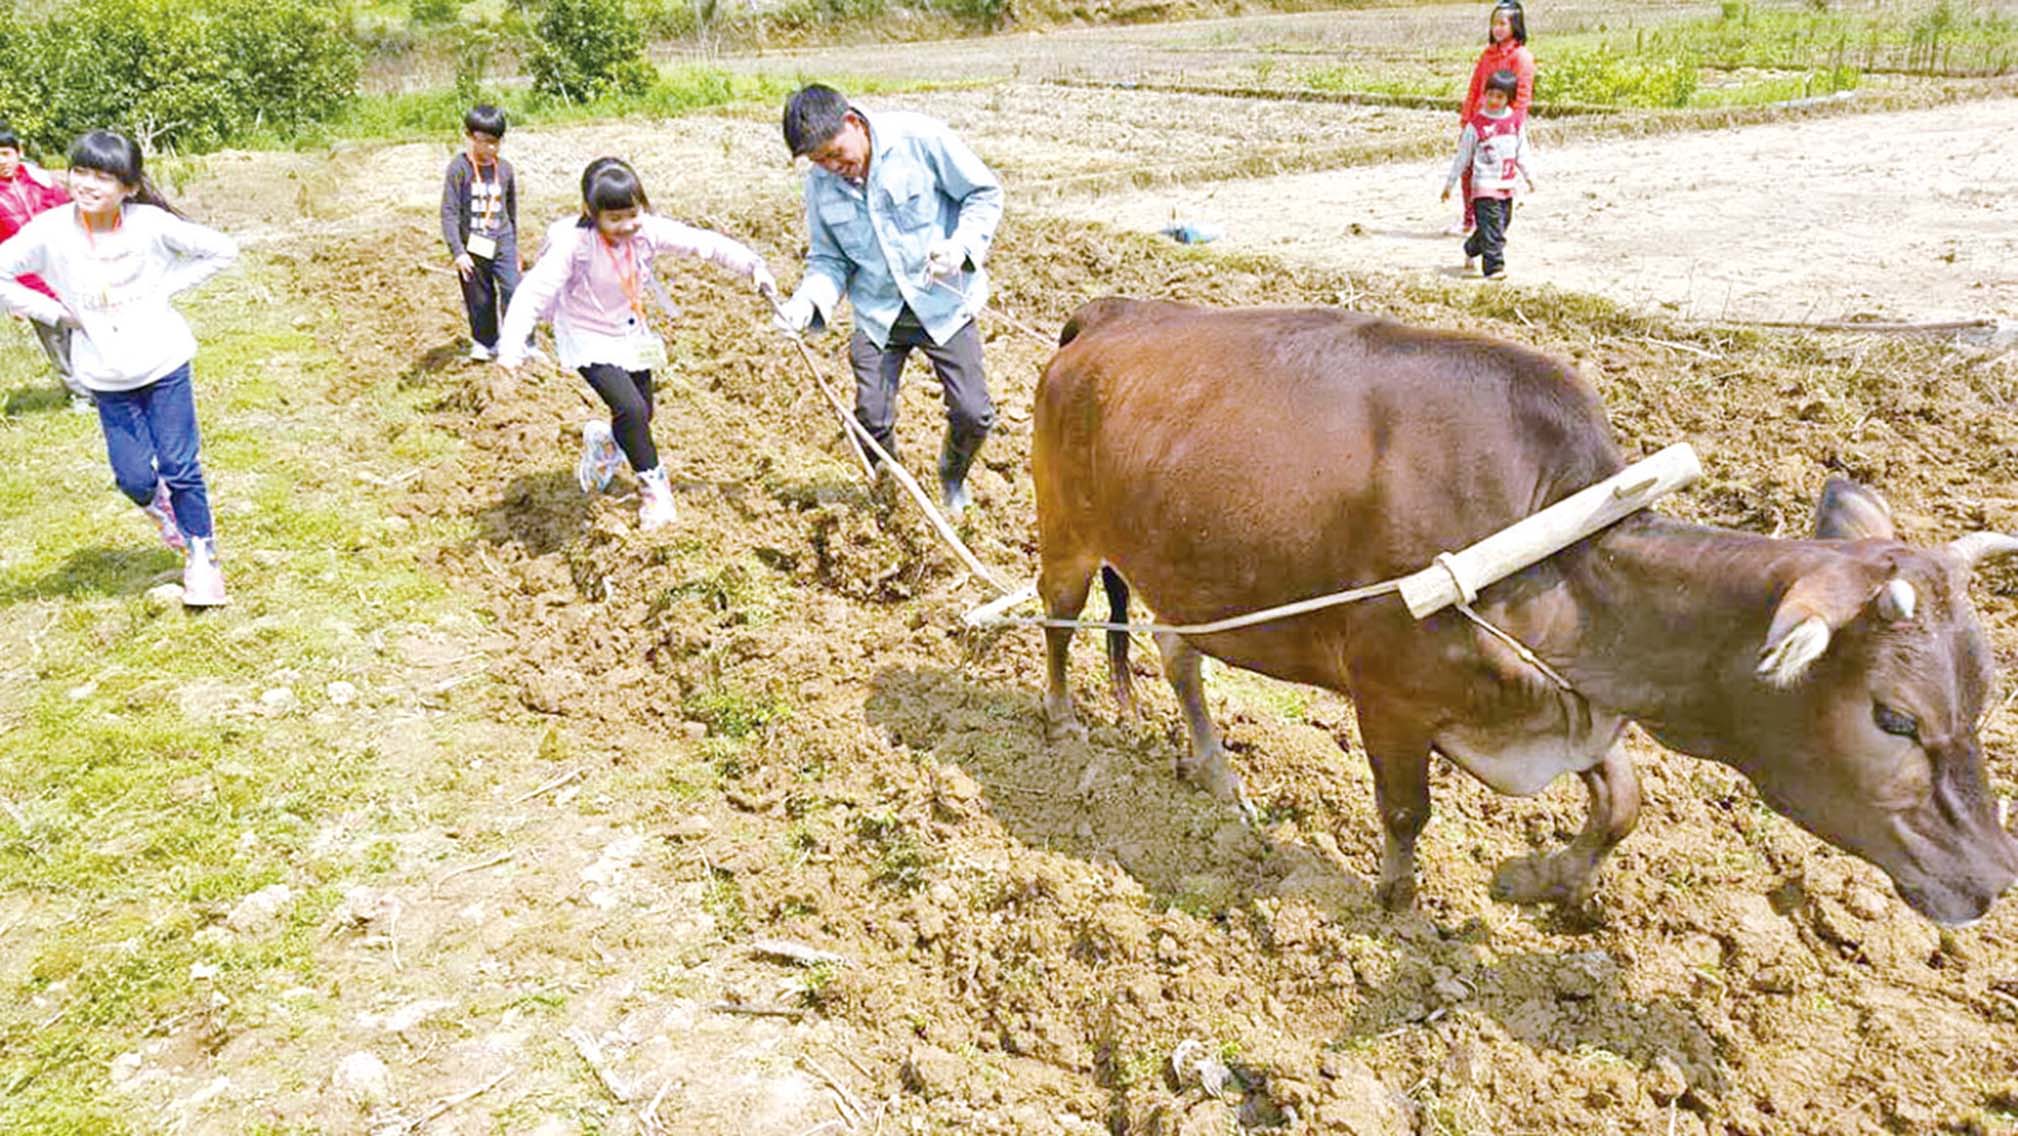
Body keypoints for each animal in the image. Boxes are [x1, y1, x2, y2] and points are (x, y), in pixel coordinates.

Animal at [1041, 300, 2017, 924]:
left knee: (1176, 655)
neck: (1552, 557)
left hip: (1188, 579)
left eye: (1983, 698)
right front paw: (1401, 910)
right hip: (1065, 538)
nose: (1995, 878)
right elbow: (1407, 816)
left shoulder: (1575, 705)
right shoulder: (1390, 699)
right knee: (1058, 625)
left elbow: (1623, 805)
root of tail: (1114, 309)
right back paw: (1059, 725)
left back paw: (1217, 774)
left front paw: (1534, 878)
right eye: (1894, 717)